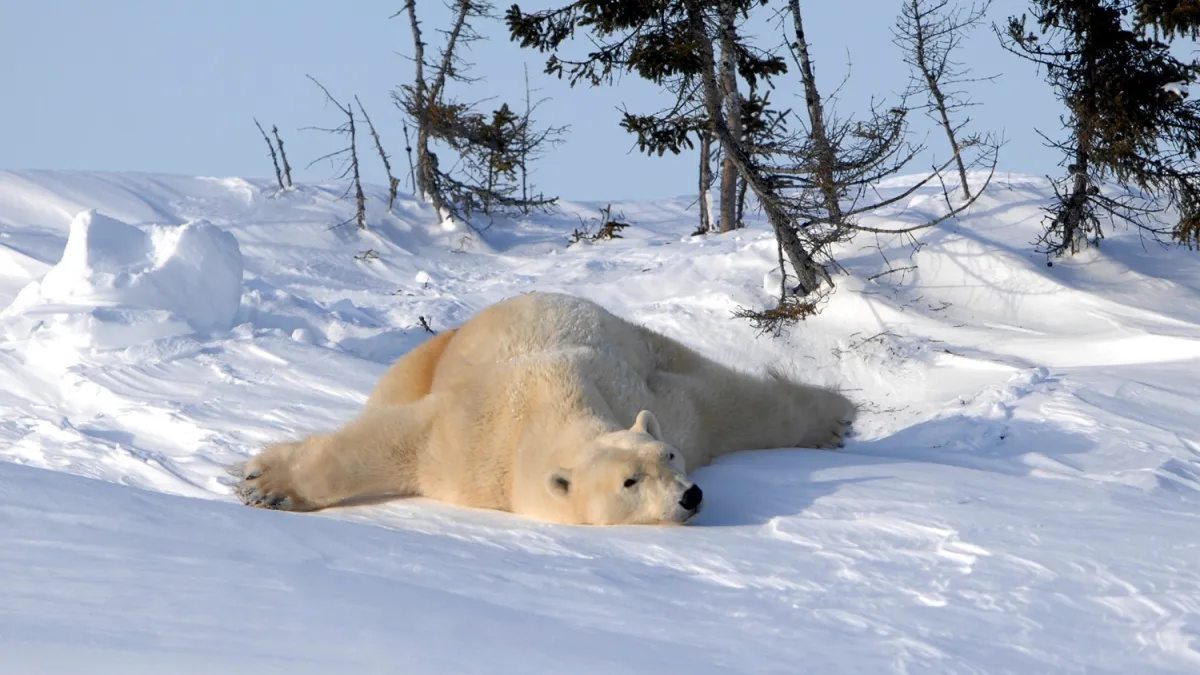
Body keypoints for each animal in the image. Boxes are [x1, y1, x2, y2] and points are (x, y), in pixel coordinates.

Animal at [233, 291, 856, 525]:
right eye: (630, 482)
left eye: (670, 457)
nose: (691, 495)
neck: (553, 404)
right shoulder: (468, 434)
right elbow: (393, 441)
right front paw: (265, 484)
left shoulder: (655, 400)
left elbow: (721, 407)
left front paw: (832, 419)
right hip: (428, 356)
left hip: (637, 336)